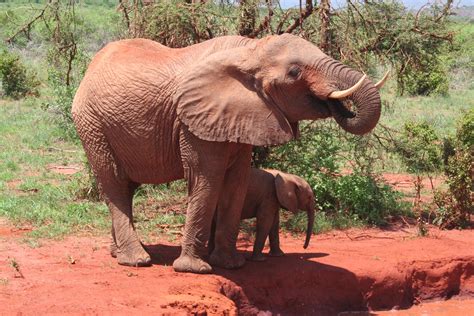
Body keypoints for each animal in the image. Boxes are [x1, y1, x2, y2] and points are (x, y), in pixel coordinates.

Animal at [73, 33, 386, 272]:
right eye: (294, 73)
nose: (342, 106)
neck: (251, 50)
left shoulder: (244, 114)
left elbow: (237, 182)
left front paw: (231, 264)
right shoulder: (194, 120)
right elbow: (207, 180)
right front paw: (195, 269)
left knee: (127, 187)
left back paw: (117, 254)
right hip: (92, 125)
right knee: (114, 183)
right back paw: (136, 261)